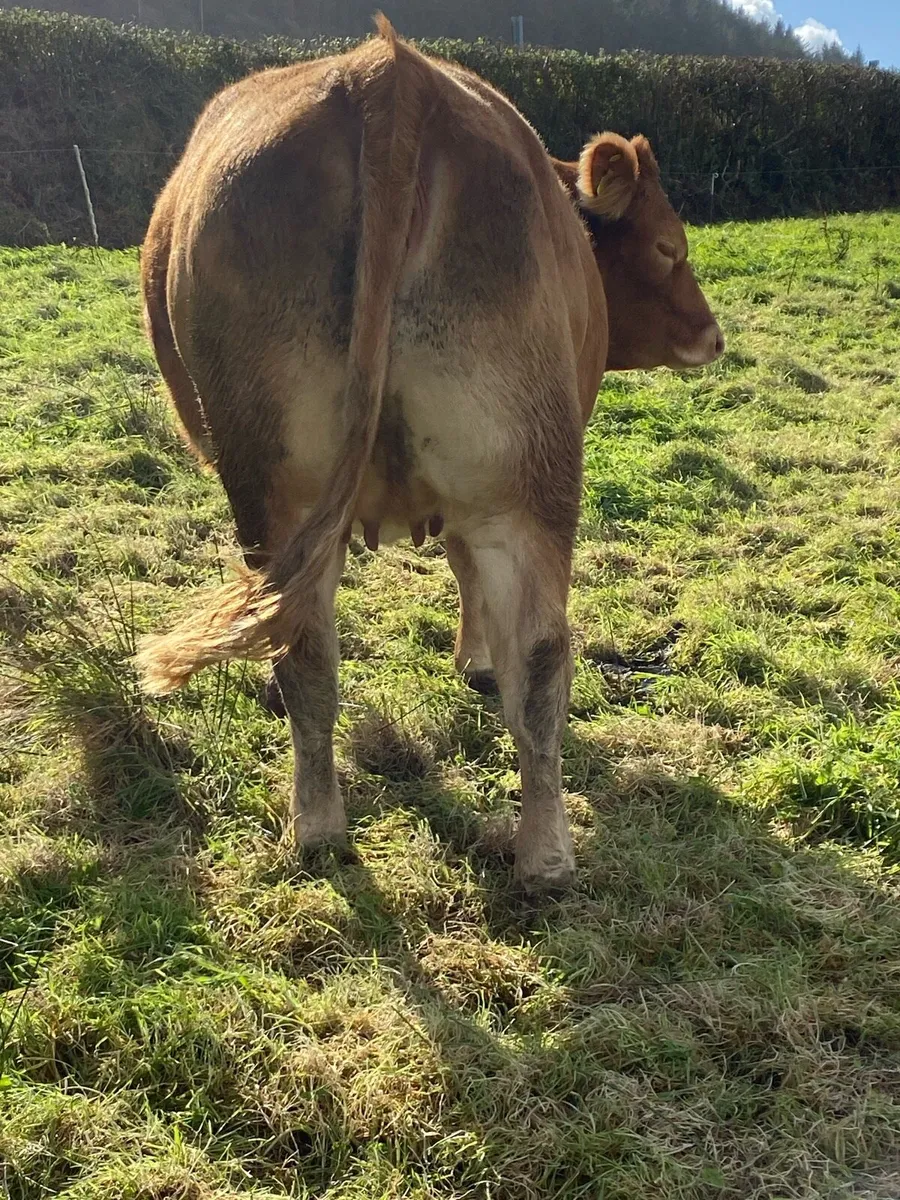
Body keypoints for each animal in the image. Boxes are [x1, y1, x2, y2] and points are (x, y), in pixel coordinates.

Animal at [137, 16, 723, 892]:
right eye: (666, 248)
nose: (714, 336)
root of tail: (390, 76)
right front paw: (476, 661)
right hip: (517, 479)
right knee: (533, 656)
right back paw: (538, 855)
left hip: (304, 485)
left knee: (316, 645)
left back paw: (324, 828)